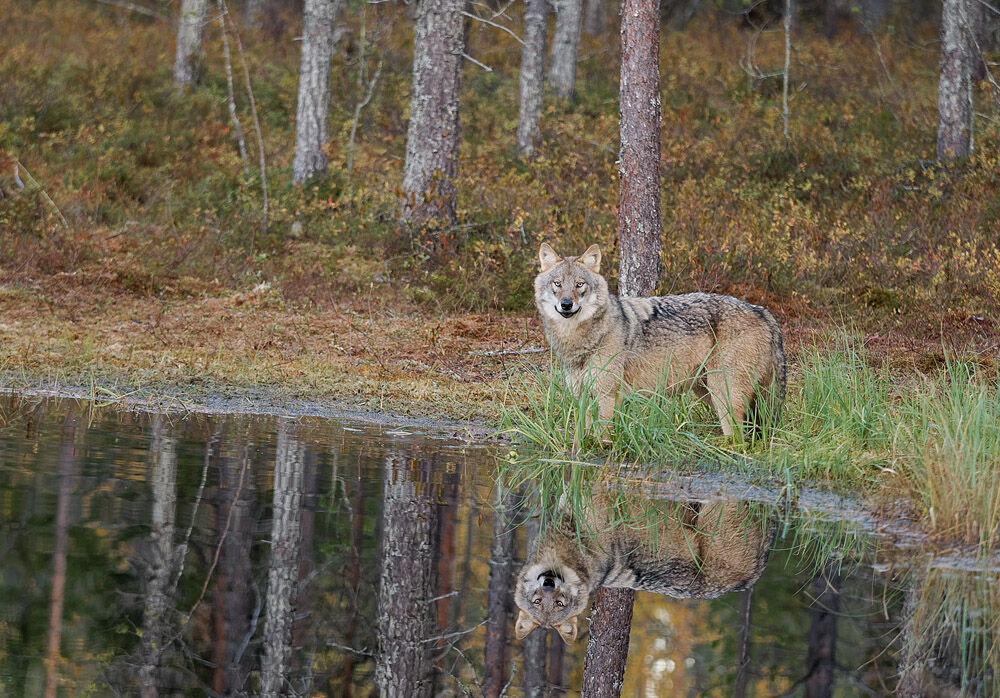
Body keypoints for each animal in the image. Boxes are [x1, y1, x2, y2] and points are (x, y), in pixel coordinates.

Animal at [534, 243, 786, 436]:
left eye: (579, 284)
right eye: (557, 284)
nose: (567, 304)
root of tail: (762, 311)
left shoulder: (607, 396)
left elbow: (601, 436)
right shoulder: (582, 396)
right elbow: (582, 437)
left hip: (723, 393)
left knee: (738, 437)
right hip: (708, 391)